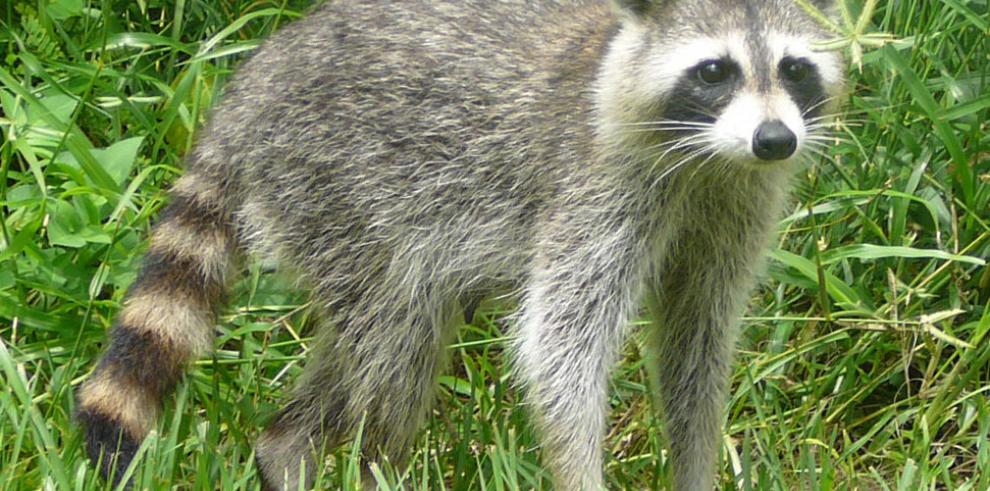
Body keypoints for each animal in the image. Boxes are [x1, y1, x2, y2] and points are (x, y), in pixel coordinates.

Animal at [79, 0, 844, 490]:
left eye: (794, 69)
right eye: (714, 71)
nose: (775, 139)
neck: (709, 158)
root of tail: (256, 81)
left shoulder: (736, 206)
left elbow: (697, 344)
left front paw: (695, 469)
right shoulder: (593, 189)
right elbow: (559, 348)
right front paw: (579, 471)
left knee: (379, 340)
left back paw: (285, 448)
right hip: (339, 189)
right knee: (398, 342)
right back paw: (376, 465)